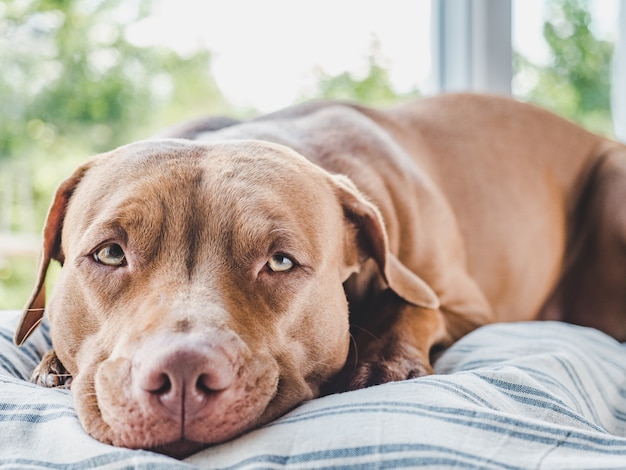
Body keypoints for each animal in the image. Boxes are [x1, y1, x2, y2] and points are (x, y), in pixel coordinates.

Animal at [13, 94, 624, 458]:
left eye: (281, 261)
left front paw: (383, 361)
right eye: (111, 254)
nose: (181, 375)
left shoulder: (464, 301)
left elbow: (411, 304)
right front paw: (52, 363)